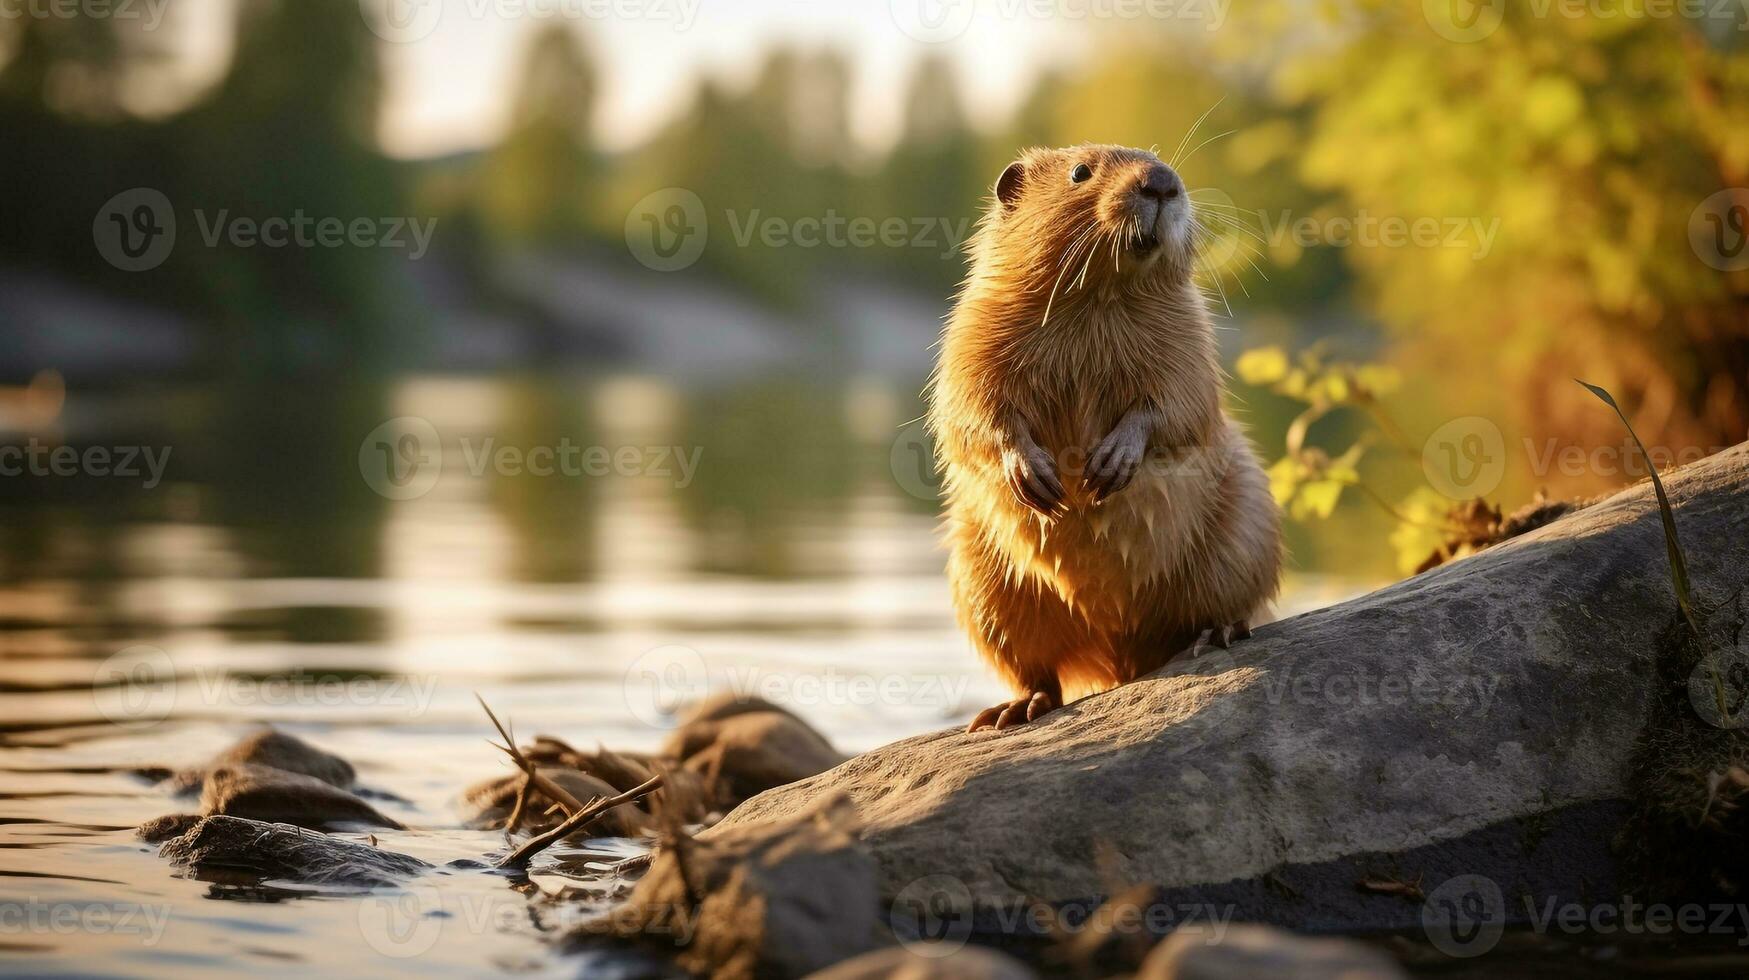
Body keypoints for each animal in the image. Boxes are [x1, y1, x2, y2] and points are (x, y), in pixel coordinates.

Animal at [930, 143, 1287, 728]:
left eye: (1160, 160)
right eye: (1080, 171)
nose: (1161, 183)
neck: (1096, 302)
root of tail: (1122, 663)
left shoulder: (1189, 334)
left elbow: (1182, 405)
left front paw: (1108, 466)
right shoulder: (973, 327)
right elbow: (968, 409)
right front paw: (1037, 479)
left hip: (1243, 533)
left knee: (1222, 607)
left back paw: (1215, 634)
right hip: (982, 580)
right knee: (1038, 671)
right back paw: (1012, 710)